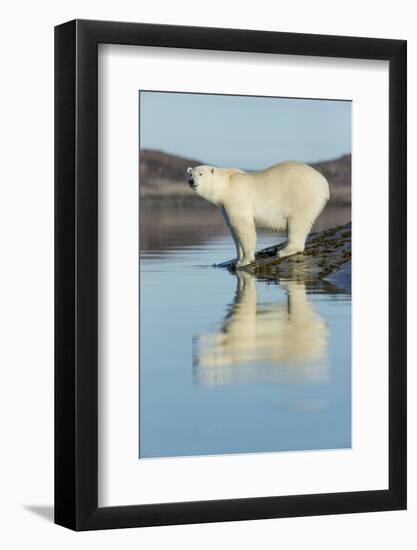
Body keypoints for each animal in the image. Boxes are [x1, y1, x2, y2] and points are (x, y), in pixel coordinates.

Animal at [188, 162, 328, 270]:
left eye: (201, 174)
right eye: (190, 174)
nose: (191, 181)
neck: (227, 184)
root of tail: (324, 182)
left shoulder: (237, 199)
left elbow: (244, 228)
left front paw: (245, 261)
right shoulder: (224, 207)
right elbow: (234, 230)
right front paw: (237, 260)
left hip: (302, 194)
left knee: (298, 221)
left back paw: (285, 250)